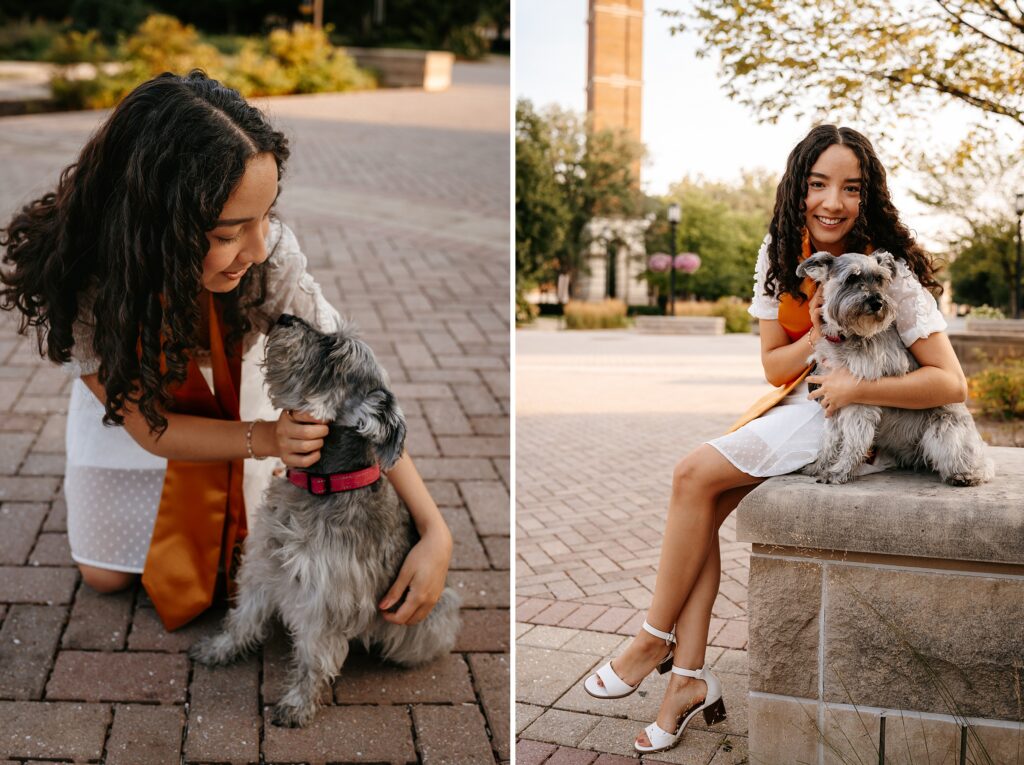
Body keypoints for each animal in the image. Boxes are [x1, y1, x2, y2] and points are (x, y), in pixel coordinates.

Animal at [190, 313, 462, 729]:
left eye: (333, 350)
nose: (286, 316)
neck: (323, 483)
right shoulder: (262, 566)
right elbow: (242, 618)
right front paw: (220, 649)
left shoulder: (325, 599)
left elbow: (313, 657)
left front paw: (298, 703)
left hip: (432, 615)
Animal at [798, 250, 991, 487]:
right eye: (852, 278)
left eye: (880, 279)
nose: (877, 302)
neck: (848, 336)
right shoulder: (833, 403)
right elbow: (829, 439)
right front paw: (819, 465)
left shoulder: (856, 399)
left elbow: (853, 441)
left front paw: (839, 472)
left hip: (942, 432)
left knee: (975, 461)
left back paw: (965, 475)